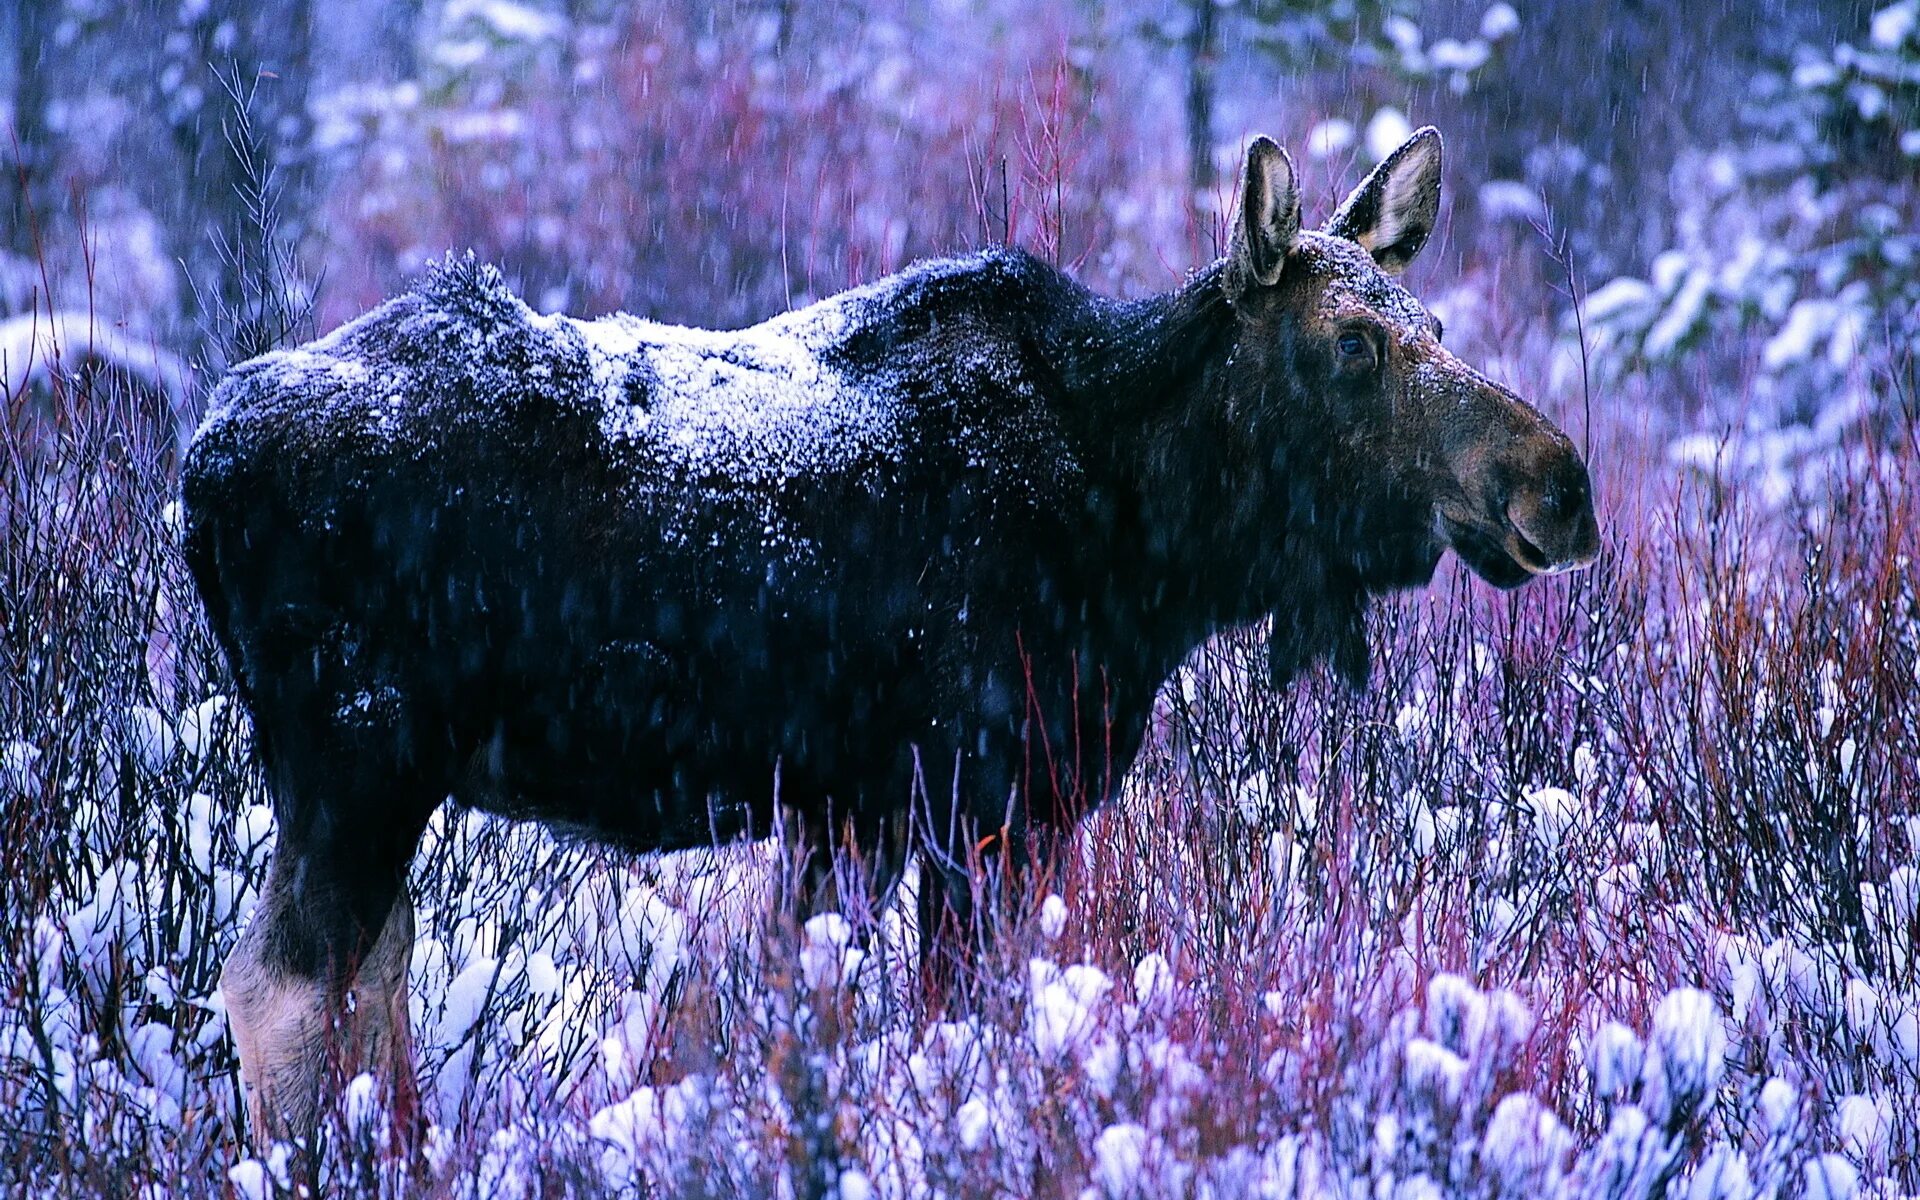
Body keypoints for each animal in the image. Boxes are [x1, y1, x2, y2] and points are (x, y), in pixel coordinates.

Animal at [180, 128, 1597, 1144]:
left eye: (1436, 327)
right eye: (1353, 345)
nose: (1561, 485)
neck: (1152, 540)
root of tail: (200, 458)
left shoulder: (842, 807)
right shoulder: (982, 789)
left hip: (375, 777)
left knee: (371, 976)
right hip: (357, 756)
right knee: (281, 990)